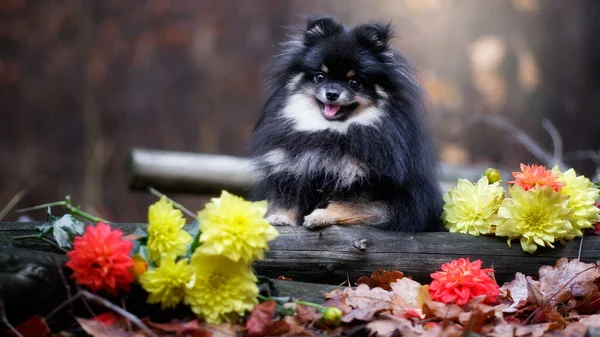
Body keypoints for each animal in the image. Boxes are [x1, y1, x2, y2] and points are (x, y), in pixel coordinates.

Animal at [246, 15, 442, 231]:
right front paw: (279, 217)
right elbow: (287, 199)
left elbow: (347, 204)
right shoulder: (292, 170)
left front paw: (321, 216)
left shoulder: (367, 181)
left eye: (354, 82)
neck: (332, 130)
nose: (331, 94)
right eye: (320, 77)